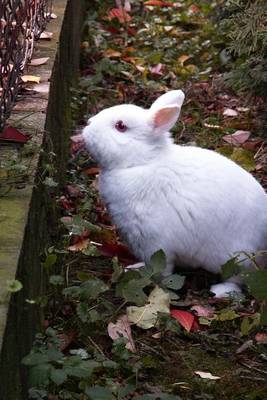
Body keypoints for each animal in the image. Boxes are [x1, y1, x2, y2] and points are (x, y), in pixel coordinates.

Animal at [80, 90, 267, 296]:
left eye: (120, 126)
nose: (88, 125)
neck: (142, 162)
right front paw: (134, 268)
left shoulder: (154, 243)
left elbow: (161, 269)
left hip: (238, 259)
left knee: (238, 279)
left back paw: (220, 291)